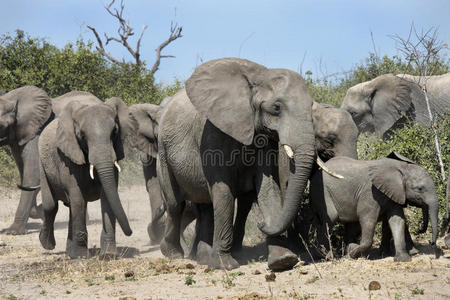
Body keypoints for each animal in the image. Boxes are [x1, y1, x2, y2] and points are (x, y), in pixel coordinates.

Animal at [38, 91, 134, 258]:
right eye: (82, 135)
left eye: (114, 132)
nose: (130, 232)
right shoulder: (67, 156)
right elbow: (77, 197)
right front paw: (81, 256)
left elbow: (107, 197)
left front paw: (108, 255)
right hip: (42, 165)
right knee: (51, 205)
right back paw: (48, 245)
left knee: (70, 207)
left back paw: (69, 252)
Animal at [155, 58, 320, 270]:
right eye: (277, 107)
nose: (261, 224)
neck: (257, 77)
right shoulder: (212, 134)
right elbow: (223, 190)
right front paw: (226, 265)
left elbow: (267, 187)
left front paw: (283, 260)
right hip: (163, 152)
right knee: (175, 204)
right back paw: (174, 254)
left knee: (206, 207)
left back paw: (203, 258)